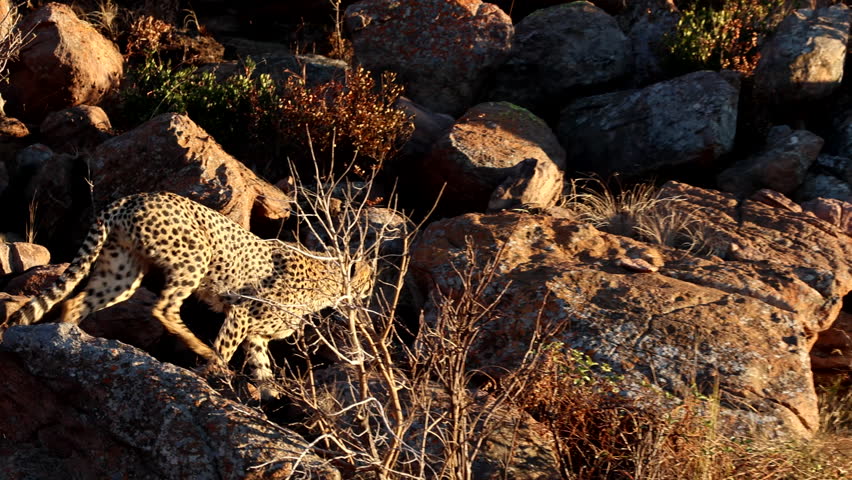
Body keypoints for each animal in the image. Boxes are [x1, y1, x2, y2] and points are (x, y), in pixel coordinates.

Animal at [4, 191, 373, 397]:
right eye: (369, 283)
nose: (367, 302)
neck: (326, 282)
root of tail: (132, 197)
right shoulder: (241, 312)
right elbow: (226, 350)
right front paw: (213, 376)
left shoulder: (257, 335)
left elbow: (263, 368)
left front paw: (268, 399)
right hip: (196, 255)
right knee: (164, 308)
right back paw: (198, 346)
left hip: (122, 272)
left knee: (76, 300)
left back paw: (69, 336)